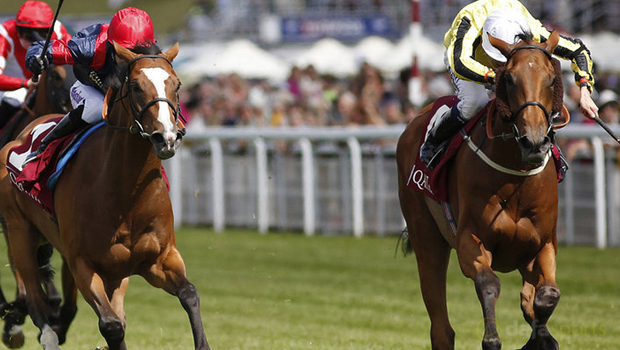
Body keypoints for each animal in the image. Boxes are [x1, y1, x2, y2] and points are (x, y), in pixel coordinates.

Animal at [0, 41, 209, 350]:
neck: (127, 195)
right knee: (36, 303)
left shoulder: (159, 258)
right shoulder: (83, 263)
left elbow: (190, 294)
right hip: (19, 233)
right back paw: (31, 329)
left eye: (178, 84)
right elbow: (111, 325)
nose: (167, 138)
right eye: (135, 86)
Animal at [398, 30, 568, 350]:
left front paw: (540, 337)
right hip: (426, 235)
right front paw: (492, 338)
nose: (534, 142)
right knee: (441, 328)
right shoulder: (470, 240)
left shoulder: (542, 245)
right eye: (509, 79)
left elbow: (545, 296)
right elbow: (488, 284)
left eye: (552, 78)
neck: (517, 179)